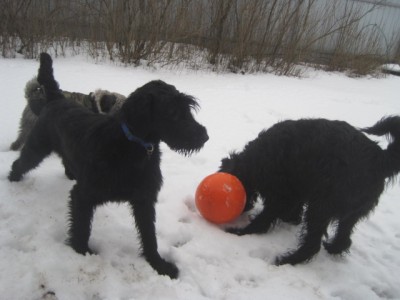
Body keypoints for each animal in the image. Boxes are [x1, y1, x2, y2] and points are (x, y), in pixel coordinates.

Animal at [8, 52, 209, 278]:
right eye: (173, 112)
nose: (204, 136)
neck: (131, 147)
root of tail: (56, 98)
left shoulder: (144, 200)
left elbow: (149, 236)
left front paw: (158, 264)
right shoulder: (83, 196)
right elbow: (81, 228)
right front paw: (82, 253)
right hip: (36, 147)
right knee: (20, 162)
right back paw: (13, 180)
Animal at [220, 116, 400, 264]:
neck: (257, 160)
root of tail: (380, 160)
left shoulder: (281, 196)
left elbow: (264, 219)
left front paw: (241, 231)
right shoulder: (296, 191)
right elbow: (292, 212)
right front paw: (291, 219)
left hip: (321, 206)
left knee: (312, 245)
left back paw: (287, 259)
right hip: (350, 214)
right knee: (344, 239)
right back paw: (332, 247)